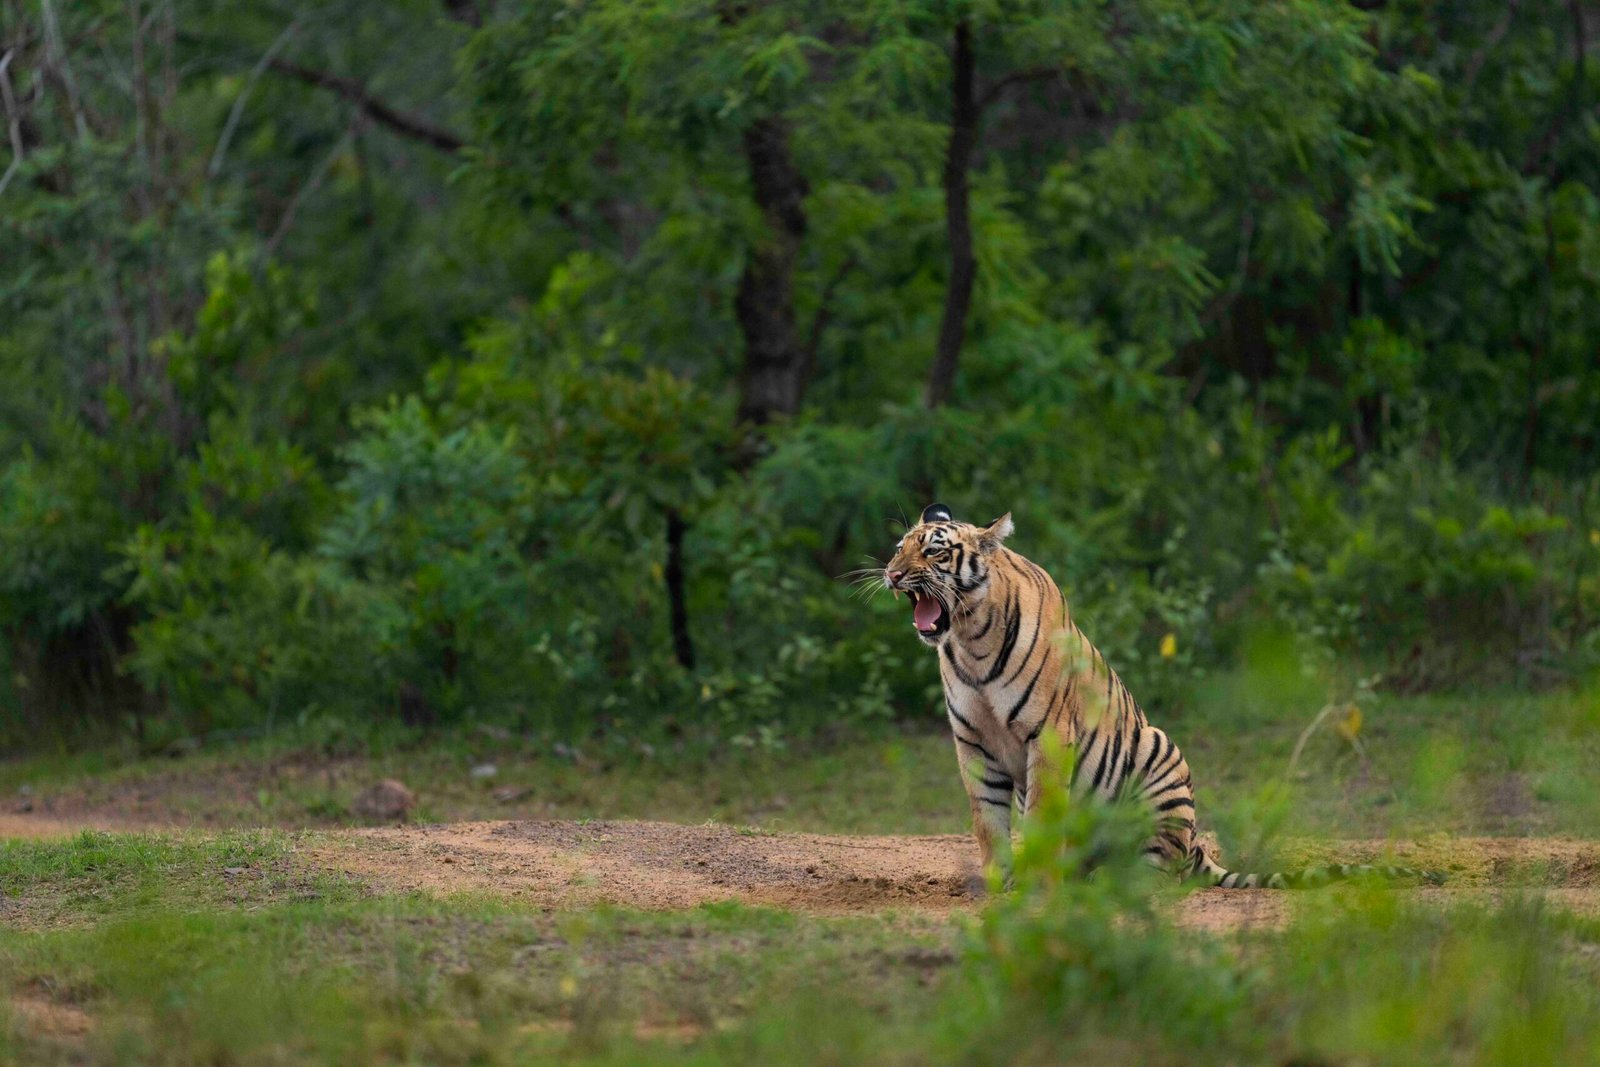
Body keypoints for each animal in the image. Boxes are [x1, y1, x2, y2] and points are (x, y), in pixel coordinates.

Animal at [883, 502, 1436, 890]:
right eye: (898, 547)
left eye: (935, 551)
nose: (891, 575)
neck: (970, 639)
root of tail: (1198, 850)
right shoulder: (974, 743)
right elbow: (988, 823)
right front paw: (1000, 884)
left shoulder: (1048, 735)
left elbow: (1041, 818)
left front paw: (1033, 885)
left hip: (1160, 750)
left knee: (1161, 870)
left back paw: (1107, 879)